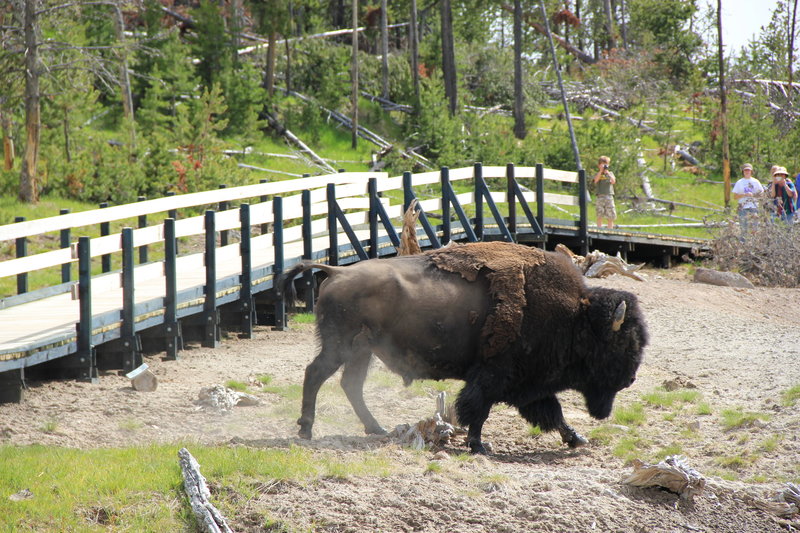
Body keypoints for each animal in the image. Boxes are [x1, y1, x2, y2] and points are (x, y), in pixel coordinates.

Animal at [278, 241, 648, 454]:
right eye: (623, 341)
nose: (630, 379)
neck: (575, 314)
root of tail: (335, 271)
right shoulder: (493, 377)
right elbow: (478, 410)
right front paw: (478, 445)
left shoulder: (529, 386)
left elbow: (551, 413)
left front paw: (577, 439)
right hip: (340, 347)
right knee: (315, 374)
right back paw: (306, 430)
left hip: (362, 351)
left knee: (349, 384)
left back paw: (376, 428)